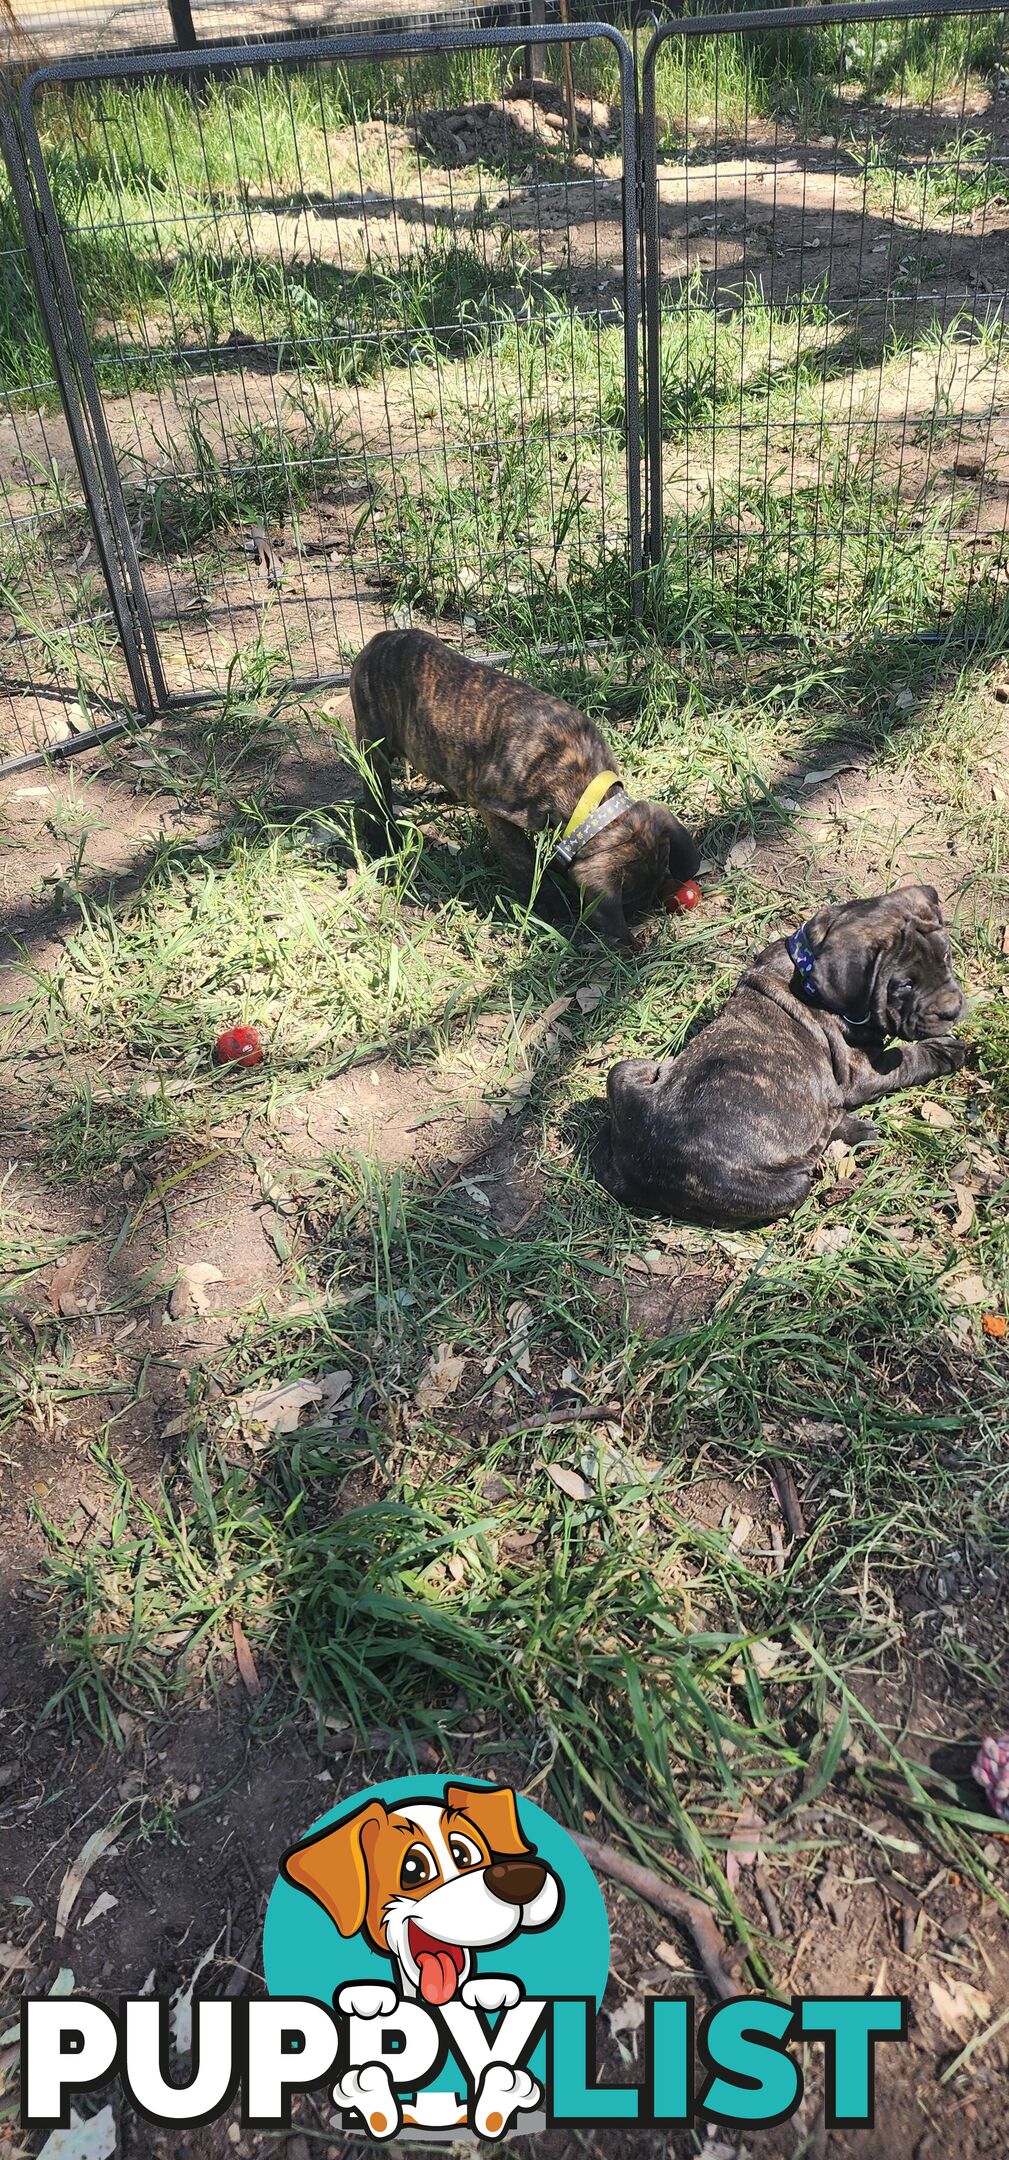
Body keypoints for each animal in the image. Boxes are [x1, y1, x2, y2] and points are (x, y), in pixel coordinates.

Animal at [352, 630, 700, 954]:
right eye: (633, 901)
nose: (658, 901)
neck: (583, 787)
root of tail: (379, 639)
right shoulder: (498, 812)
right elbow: (520, 858)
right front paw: (548, 901)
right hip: (373, 743)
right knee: (375, 788)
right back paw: (381, 836)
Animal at [596, 881, 967, 1226]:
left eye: (947, 956)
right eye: (904, 985)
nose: (953, 1009)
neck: (808, 969)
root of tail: (629, 1170)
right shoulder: (862, 1071)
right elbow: (906, 1060)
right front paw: (945, 1051)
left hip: (624, 1068)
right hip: (789, 1186)